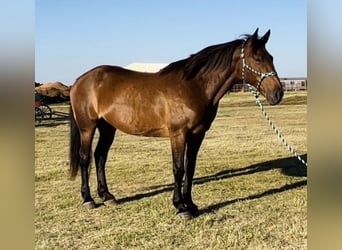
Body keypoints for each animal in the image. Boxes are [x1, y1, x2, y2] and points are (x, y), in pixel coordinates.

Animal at [69, 28, 284, 219]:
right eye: (258, 59)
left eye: (272, 57)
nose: (277, 93)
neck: (194, 86)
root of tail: (79, 80)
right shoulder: (178, 134)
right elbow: (178, 168)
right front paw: (181, 207)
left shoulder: (198, 134)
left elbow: (190, 168)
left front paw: (191, 204)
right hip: (87, 128)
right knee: (85, 158)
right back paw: (88, 199)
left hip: (107, 128)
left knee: (100, 157)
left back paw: (107, 196)